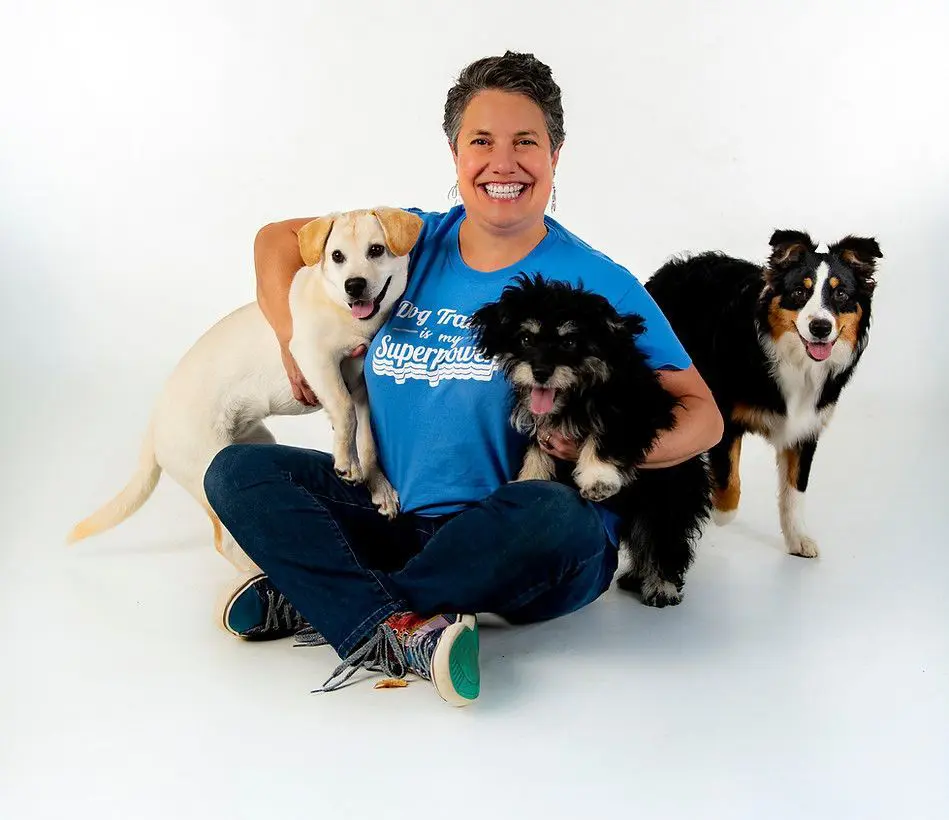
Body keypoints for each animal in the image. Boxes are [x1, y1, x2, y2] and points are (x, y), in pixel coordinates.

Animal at [68, 208, 420, 572]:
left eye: (376, 250)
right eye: (337, 256)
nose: (355, 285)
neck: (341, 309)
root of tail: (153, 422)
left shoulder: (361, 390)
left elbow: (368, 442)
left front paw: (378, 487)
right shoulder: (315, 359)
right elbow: (344, 411)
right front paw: (347, 464)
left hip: (257, 439)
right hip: (206, 470)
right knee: (223, 541)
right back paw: (257, 571)